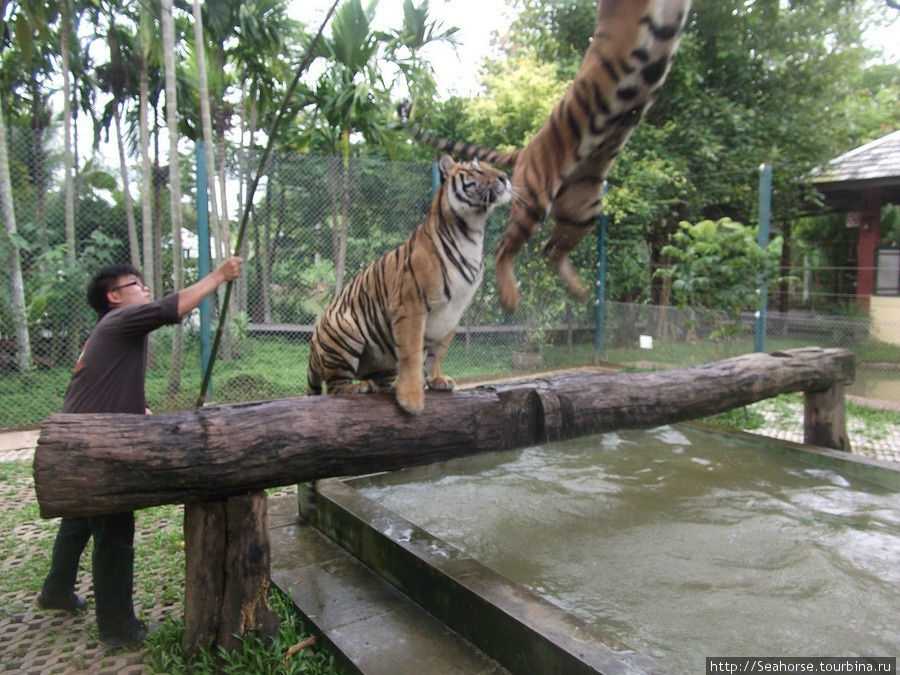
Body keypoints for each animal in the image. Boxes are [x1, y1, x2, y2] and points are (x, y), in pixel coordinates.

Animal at [308, 155, 506, 414]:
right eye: (477, 169)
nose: (505, 177)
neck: (471, 234)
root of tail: (311, 347)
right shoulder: (411, 305)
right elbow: (412, 354)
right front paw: (411, 399)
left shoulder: (454, 312)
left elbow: (437, 353)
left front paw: (436, 380)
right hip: (344, 329)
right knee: (334, 389)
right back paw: (357, 388)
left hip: (384, 360)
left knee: (376, 381)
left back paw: (375, 386)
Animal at [396, 0, 688, 312]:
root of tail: (525, 150)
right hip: (535, 203)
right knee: (504, 249)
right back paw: (510, 298)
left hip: (584, 212)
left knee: (550, 251)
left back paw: (579, 291)